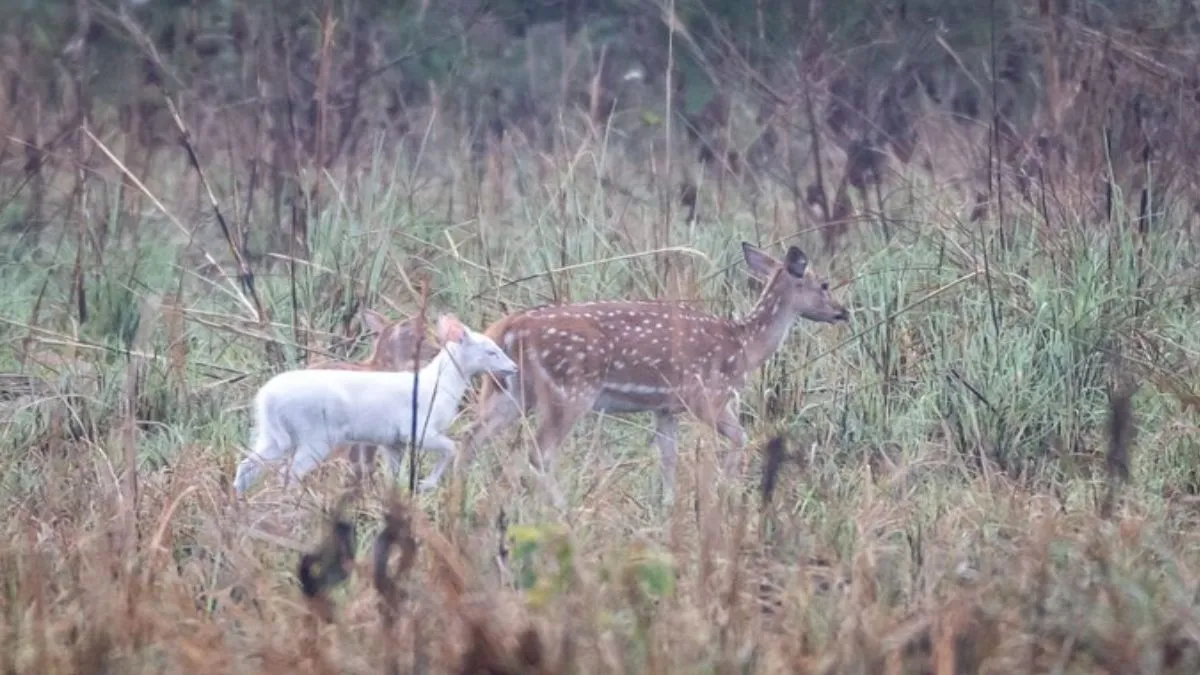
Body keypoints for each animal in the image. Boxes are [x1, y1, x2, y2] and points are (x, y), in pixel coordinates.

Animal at [422, 241, 854, 499]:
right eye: (824, 284)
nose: (843, 311)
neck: (744, 346)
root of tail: (508, 328)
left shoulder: (664, 407)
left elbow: (668, 456)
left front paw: (668, 503)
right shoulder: (706, 395)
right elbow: (740, 438)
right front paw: (722, 490)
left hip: (507, 390)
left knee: (471, 438)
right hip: (569, 390)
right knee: (538, 452)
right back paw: (558, 508)